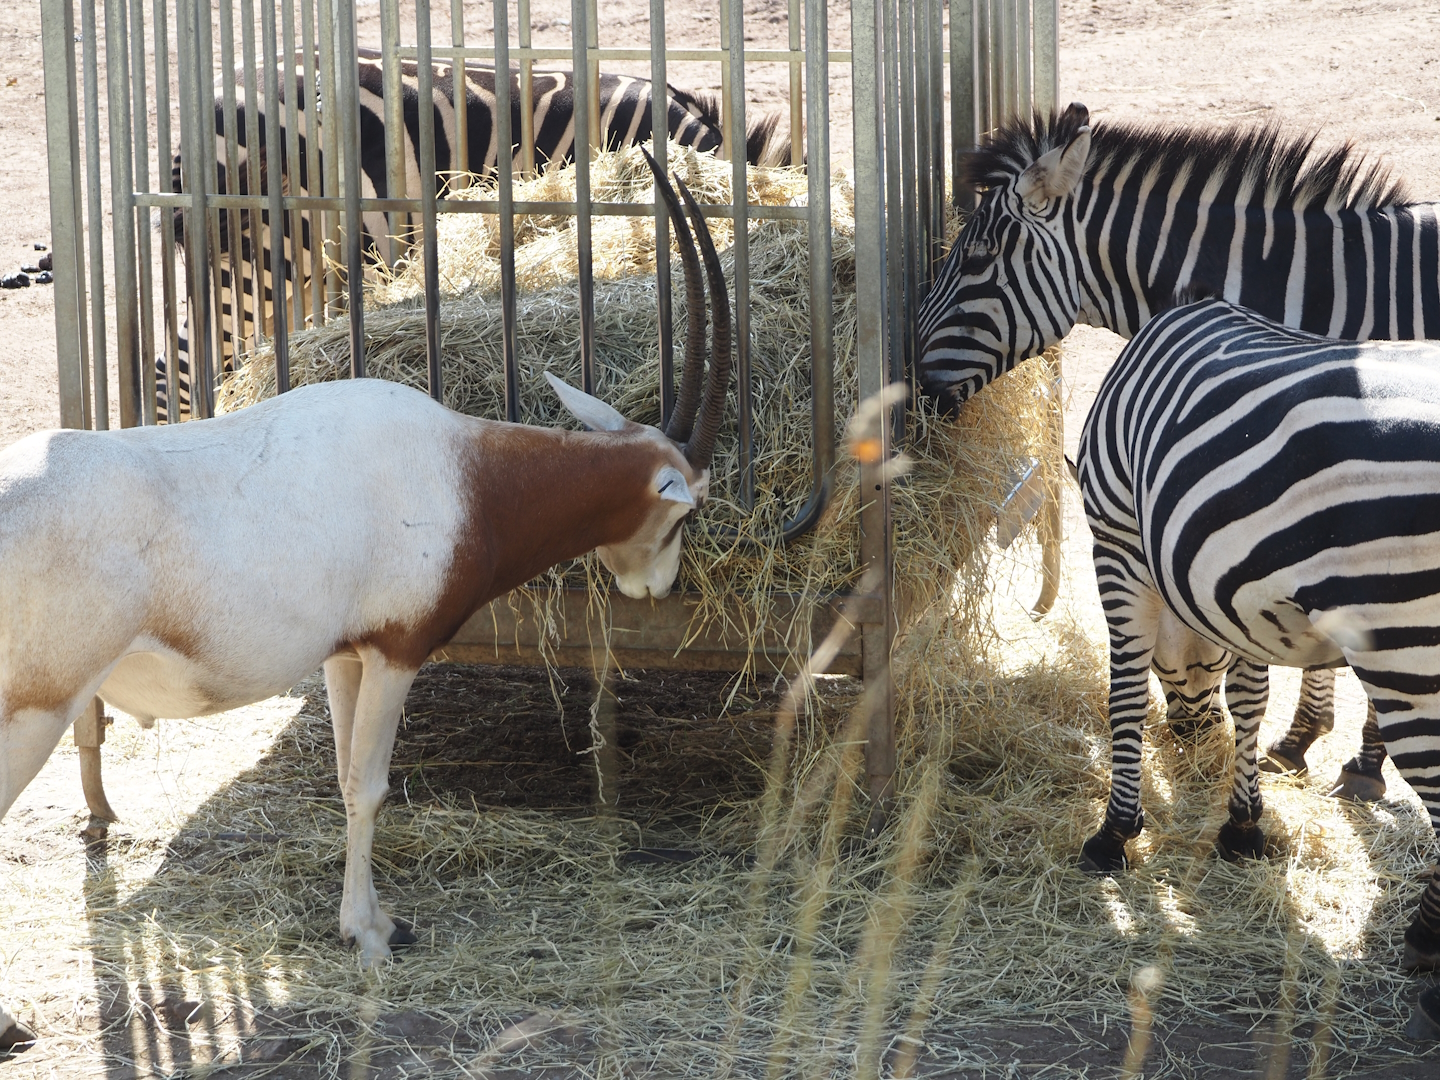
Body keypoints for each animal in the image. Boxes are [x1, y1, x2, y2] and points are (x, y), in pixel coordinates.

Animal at [1075, 295, 1440, 1035]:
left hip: (1405, 647)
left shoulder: (1118, 538)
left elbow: (1123, 693)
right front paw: (1244, 824)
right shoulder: (1236, 589)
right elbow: (1250, 696)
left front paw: (1113, 835)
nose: (1189, 735)